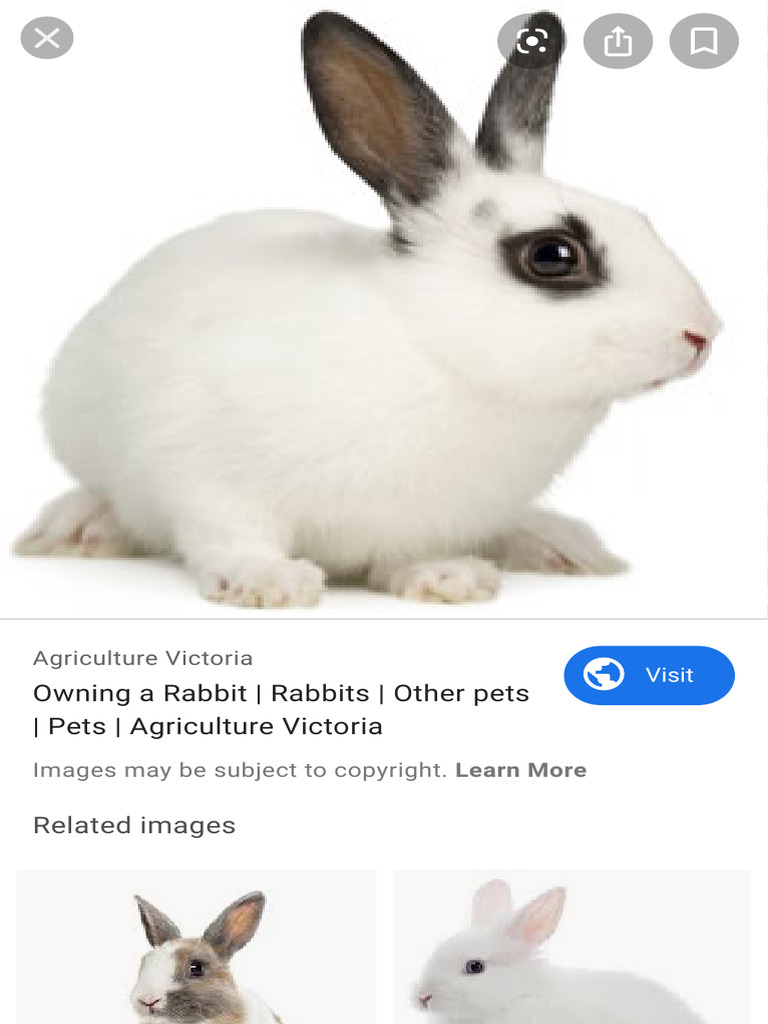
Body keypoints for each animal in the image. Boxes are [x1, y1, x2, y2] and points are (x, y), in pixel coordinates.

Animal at [15, 11, 721, 607]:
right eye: (552, 255)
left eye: (641, 219)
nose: (702, 333)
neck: (436, 352)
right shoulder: (206, 477)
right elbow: (228, 537)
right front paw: (269, 583)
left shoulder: (426, 516)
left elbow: (409, 555)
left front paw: (447, 578)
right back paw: (75, 528)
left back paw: (557, 544)